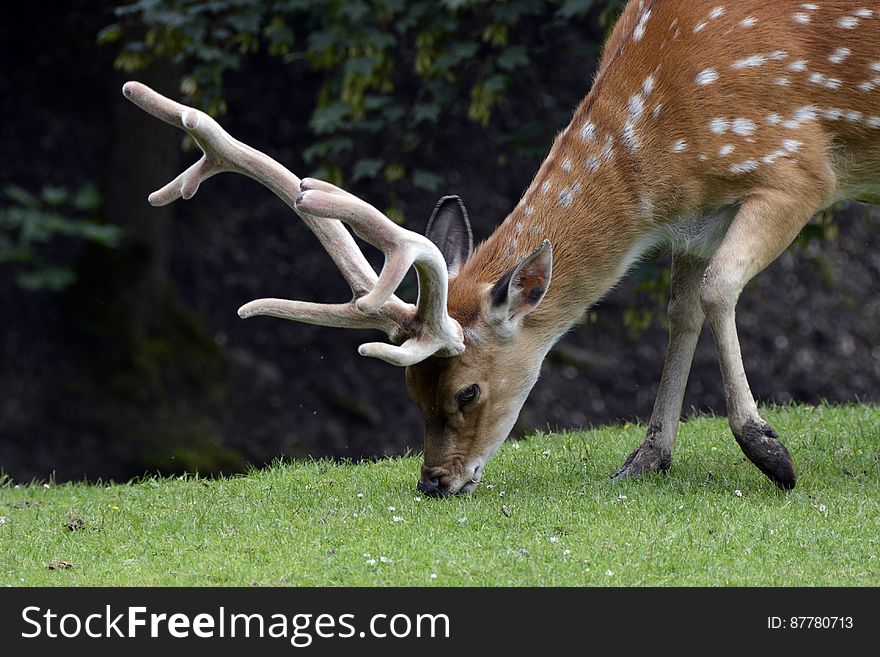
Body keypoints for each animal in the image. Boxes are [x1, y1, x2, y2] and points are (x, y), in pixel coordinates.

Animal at [122, 0, 880, 492]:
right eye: (410, 386)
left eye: (467, 391)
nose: (432, 481)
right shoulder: (698, 219)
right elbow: (682, 311)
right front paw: (646, 458)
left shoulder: (797, 166)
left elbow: (721, 287)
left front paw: (769, 452)